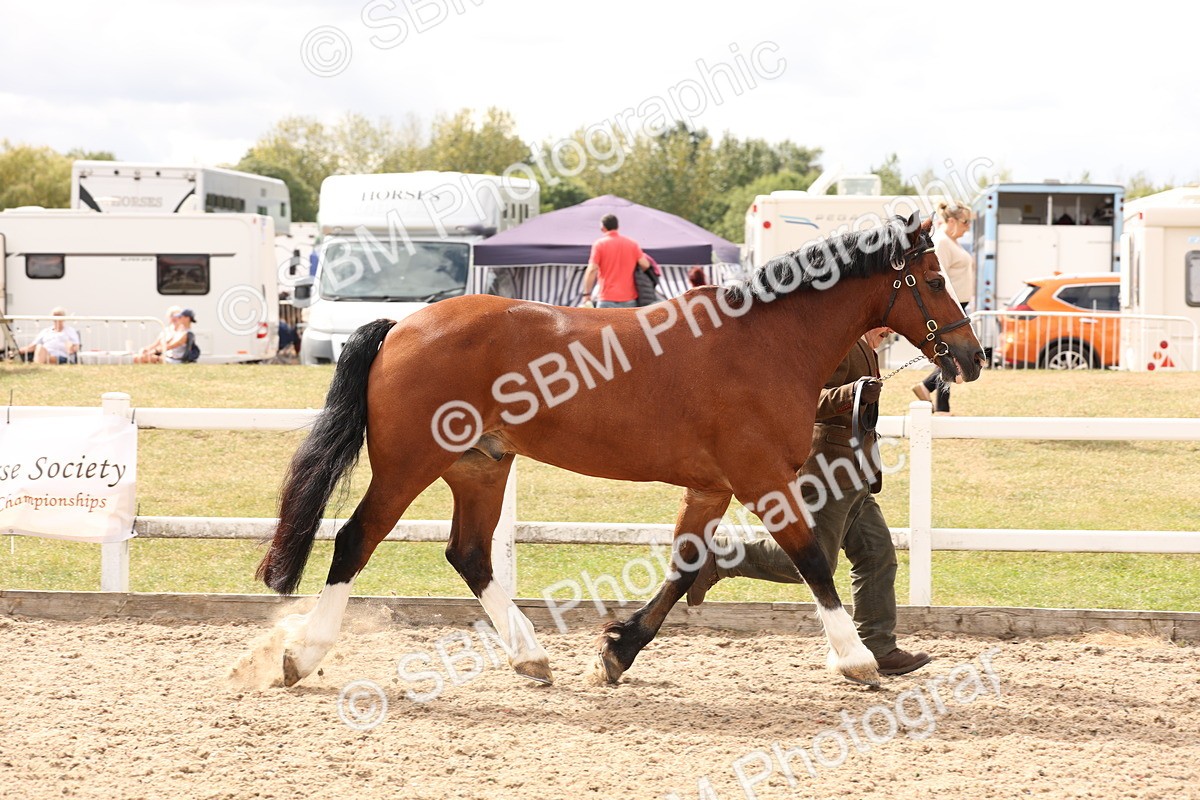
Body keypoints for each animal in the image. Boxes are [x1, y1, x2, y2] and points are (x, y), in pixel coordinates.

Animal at [257, 212, 985, 689]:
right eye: (934, 278)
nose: (973, 356)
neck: (766, 340)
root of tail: (402, 324)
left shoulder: (712, 488)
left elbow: (687, 568)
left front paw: (618, 651)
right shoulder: (762, 479)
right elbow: (812, 561)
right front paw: (858, 660)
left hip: (481, 466)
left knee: (469, 555)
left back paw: (530, 657)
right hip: (411, 465)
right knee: (355, 540)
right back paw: (302, 656)